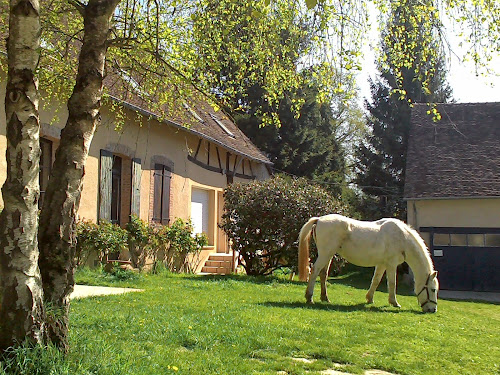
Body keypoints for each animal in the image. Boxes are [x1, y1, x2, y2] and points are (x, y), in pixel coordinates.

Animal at [298, 214, 440, 314]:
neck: (402, 237)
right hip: (325, 254)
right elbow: (392, 283)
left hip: (328, 255)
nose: (432, 310)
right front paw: (394, 302)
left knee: (323, 274)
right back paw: (309, 298)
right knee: (314, 271)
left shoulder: (382, 264)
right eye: (433, 289)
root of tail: (319, 219)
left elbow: (375, 281)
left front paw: (369, 299)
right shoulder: (391, 264)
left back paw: (325, 298)